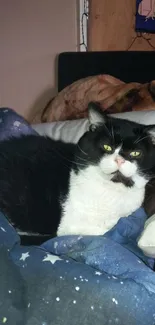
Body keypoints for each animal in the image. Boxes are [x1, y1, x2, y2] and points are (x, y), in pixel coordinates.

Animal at [0, 102, 155, 243]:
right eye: (107, 146)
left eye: (136, 153)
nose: (119, 160)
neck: (110, 190)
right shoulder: (69, 226)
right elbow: (107, 231)